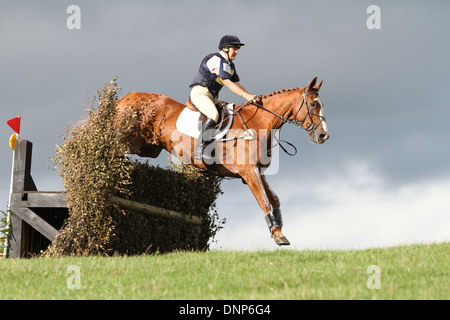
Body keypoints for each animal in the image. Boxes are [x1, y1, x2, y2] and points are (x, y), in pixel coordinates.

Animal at [114, 77, 328, 245]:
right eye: (313, 104)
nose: (324, 135)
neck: (258, 123)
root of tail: (125, 98)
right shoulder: (249, 172)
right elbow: (264, 201)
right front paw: (277, 235)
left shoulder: (258, 171)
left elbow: (274, 199)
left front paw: (278, 231)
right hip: (126, 141)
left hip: (146, 149)